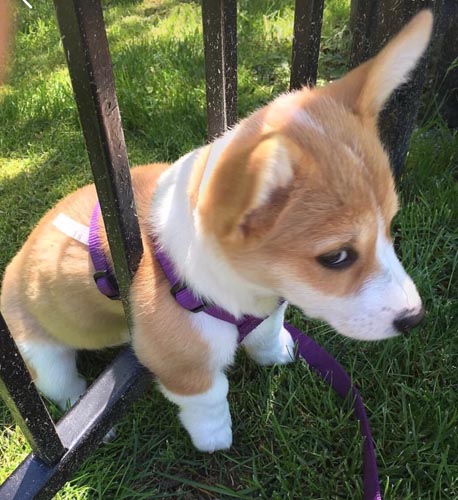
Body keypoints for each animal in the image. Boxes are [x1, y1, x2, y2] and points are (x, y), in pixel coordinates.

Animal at [0, 11, 432, 452]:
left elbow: (267, 332)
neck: (239, 288)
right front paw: (215, 439)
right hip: (40, 356)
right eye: (336, 257)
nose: (414, 318)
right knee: (62, 385)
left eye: (390, 226)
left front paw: (277, 353)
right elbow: (209, 398)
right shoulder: (183, 360)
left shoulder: (267, 309)